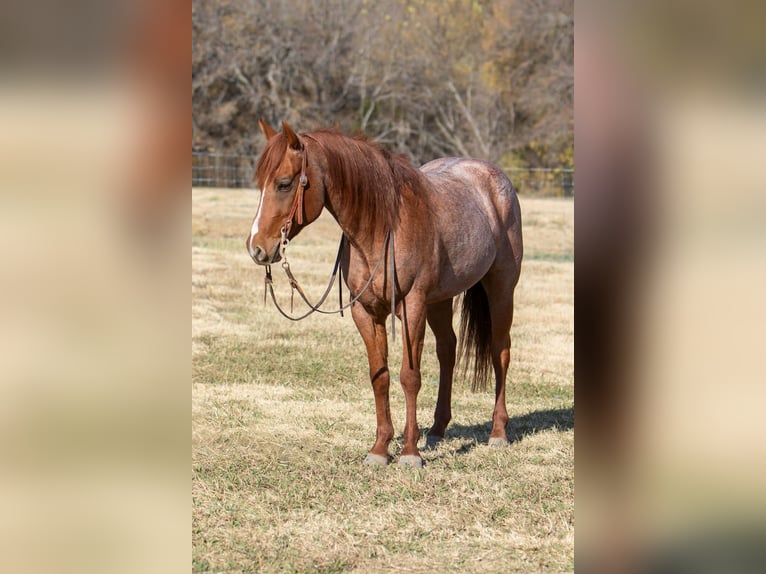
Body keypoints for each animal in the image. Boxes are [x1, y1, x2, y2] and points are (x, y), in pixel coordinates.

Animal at [246, 120, 523, 467]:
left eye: (284, 184)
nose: (256, 248)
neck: (381, 227)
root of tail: (495, 177)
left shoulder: (413, 306)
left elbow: (409, 376)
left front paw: (410, 453)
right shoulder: (366, 311)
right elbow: (380, 375)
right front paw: (380, 449)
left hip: (501, 287)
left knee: (501, 351)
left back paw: (498, 432)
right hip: (440, 300)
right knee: (447, 350)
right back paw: (437, 430)